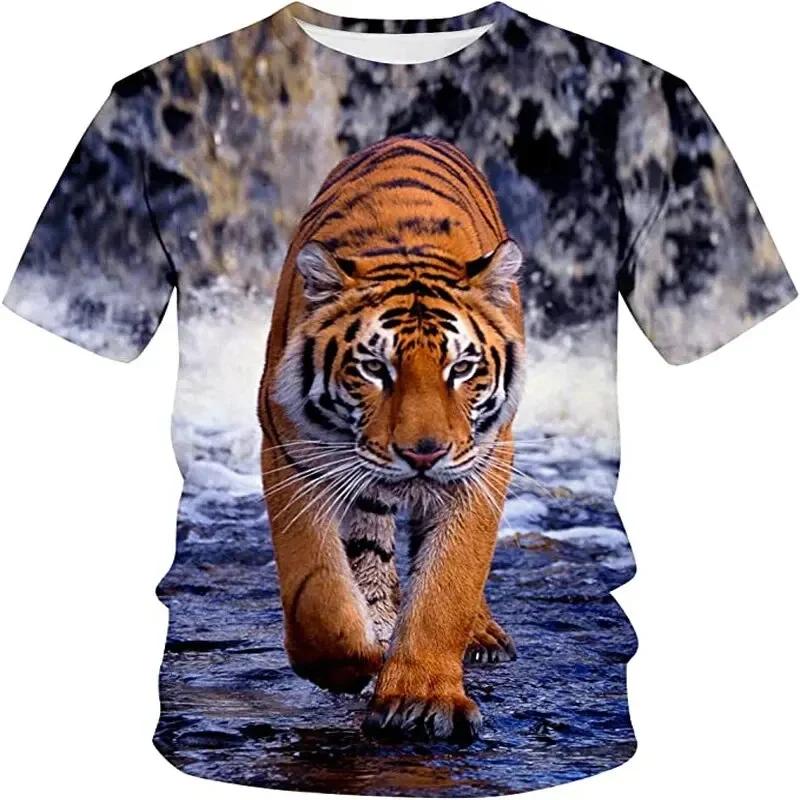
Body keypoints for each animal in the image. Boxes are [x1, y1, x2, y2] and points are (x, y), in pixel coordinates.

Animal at [258, 134, 525, 743]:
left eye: (462, 368)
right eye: (375, 369)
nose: (423, 454)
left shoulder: (482, 463)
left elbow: (449, 583)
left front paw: (421, 698)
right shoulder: (290, 454)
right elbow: (318, 594)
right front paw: (353, 661)